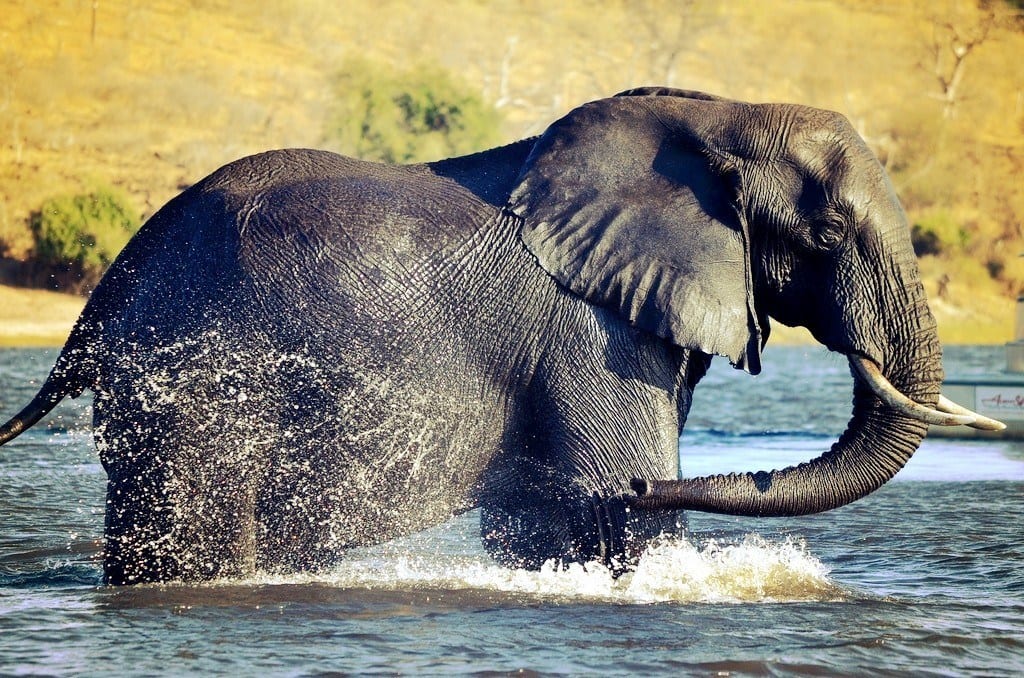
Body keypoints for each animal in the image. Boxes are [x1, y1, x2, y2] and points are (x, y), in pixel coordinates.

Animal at [0, 87, 1002, 585]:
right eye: (827, 233)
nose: (649, 484)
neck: (717, 117)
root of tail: (99, 302)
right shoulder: (590, 326)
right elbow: (609, 505)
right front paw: (628, 496)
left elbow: (545, 526)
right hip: (195, 388)